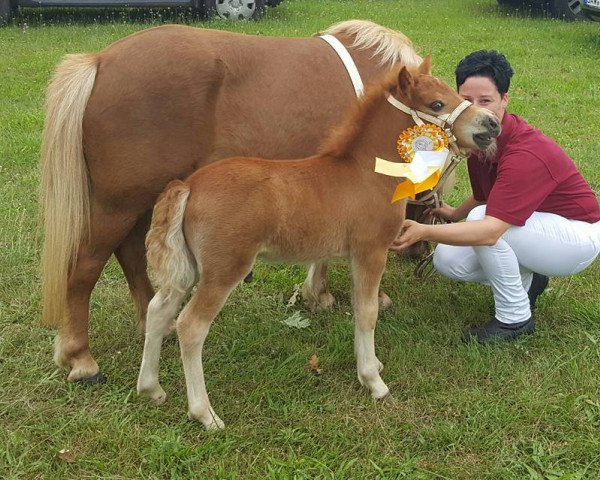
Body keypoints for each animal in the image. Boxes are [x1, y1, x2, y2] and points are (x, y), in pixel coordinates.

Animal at [39, 21, 424, 382]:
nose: (416, 252)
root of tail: (100, 61)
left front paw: (318, 293)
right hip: (116, 206)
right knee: (84, 269)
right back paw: (80, 358)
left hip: (142, 201)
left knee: (131, 255)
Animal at [137, 58, 502, 430]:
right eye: (436, 104)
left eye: (455, 93)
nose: (491, 123)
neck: (367, 173)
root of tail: (189, 186)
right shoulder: (371, 251)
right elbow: (368, 311)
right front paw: (373, 381)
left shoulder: (355, 256)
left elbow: (358, 306)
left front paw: (371, 365)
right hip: (224, 270)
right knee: (190, 326)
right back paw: (205, 413)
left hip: (190, 268)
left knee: (158, 310)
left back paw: (151, 388)